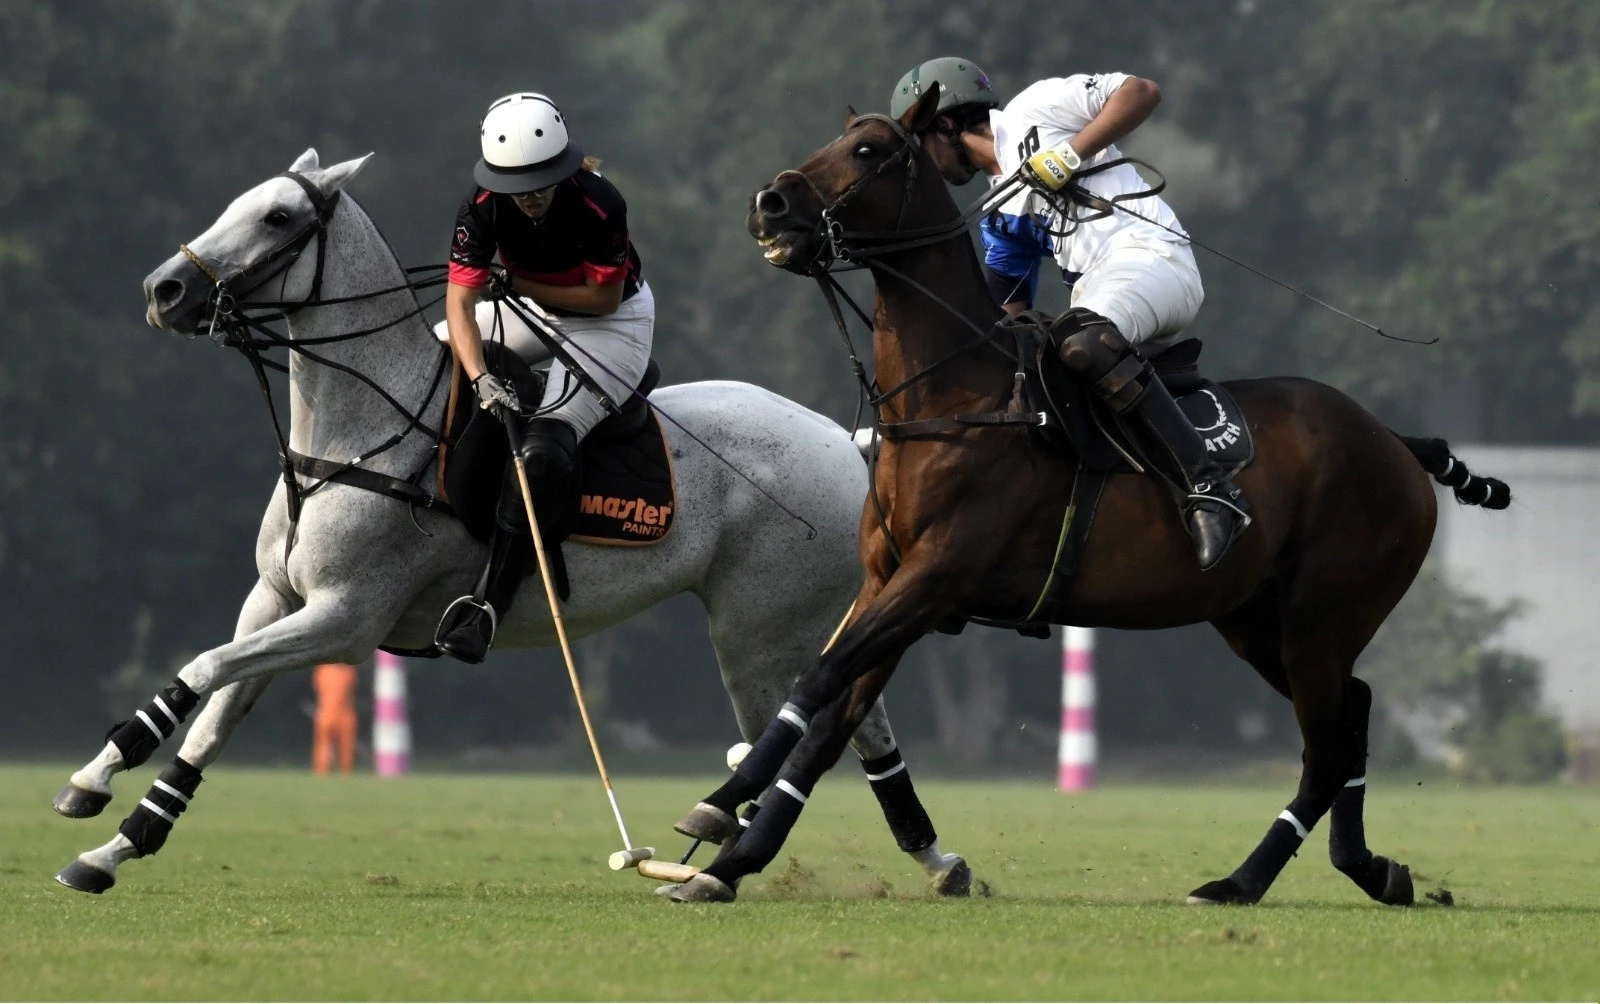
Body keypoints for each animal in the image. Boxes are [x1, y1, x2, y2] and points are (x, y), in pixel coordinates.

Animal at [53, 152, 972, 895]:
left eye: (277, 217)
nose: (163, 291)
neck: (353, 432)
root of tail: (847, 444)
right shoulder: (276, 600)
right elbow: (211, 711)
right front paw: (111, 838)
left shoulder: (346, 621)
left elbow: (202, 668)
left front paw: (95, 787)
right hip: (779, 630)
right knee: (847, 724)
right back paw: (923, 858)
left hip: (758, 631)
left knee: (817, 722)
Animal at [665, 84, 1510, 901]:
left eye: (869, 149)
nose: (769, 203)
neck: (951, 397)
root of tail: (1395, 441)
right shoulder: (888, 582)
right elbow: (830, 719)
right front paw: (729, 857)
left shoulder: (937, 579)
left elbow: (820, 679)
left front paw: (719, 811)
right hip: (1256, 620)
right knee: (1353, 715)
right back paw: (1367, 868)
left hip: (1321, 616)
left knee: (1328, 745)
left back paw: (1241, 882)